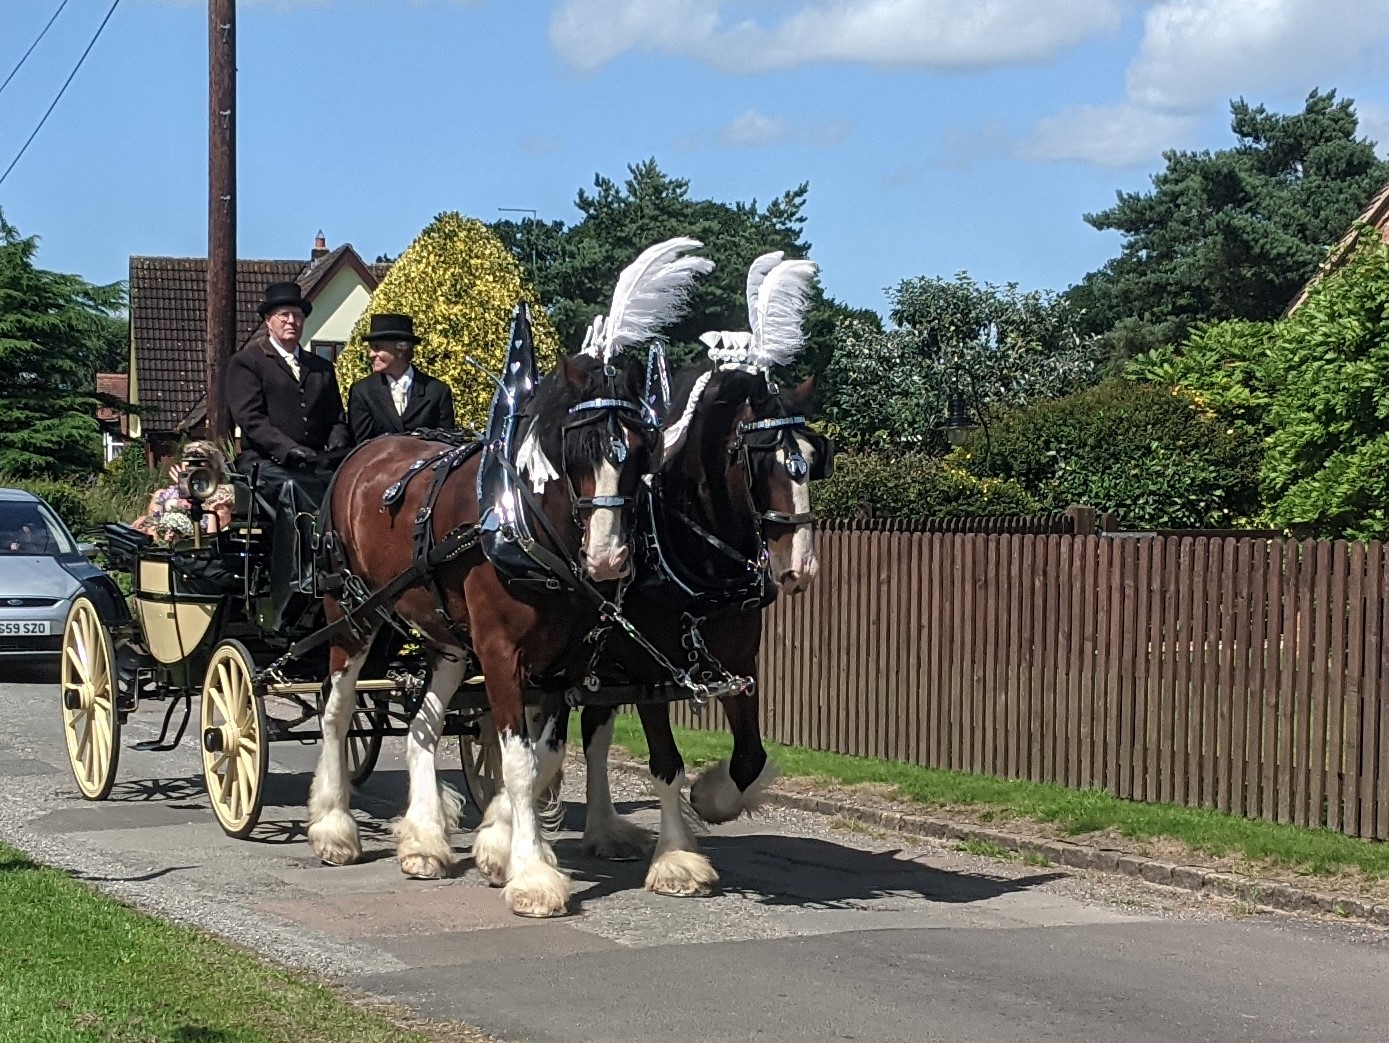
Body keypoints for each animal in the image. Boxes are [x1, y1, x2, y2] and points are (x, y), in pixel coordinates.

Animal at [306, 348, 663, 911]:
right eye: (578, 450)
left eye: (642, 451)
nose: (608, 558)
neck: (524, 528)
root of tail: (365, 452)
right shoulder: (499, 654)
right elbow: (518, 762)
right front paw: (532, 874)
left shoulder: (564, 666)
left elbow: (544, 758)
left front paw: (498, 845)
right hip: (351, 615)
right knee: (337, 713)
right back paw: (334, 828)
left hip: (448, 642)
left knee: (423, 727)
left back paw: (424, 840)